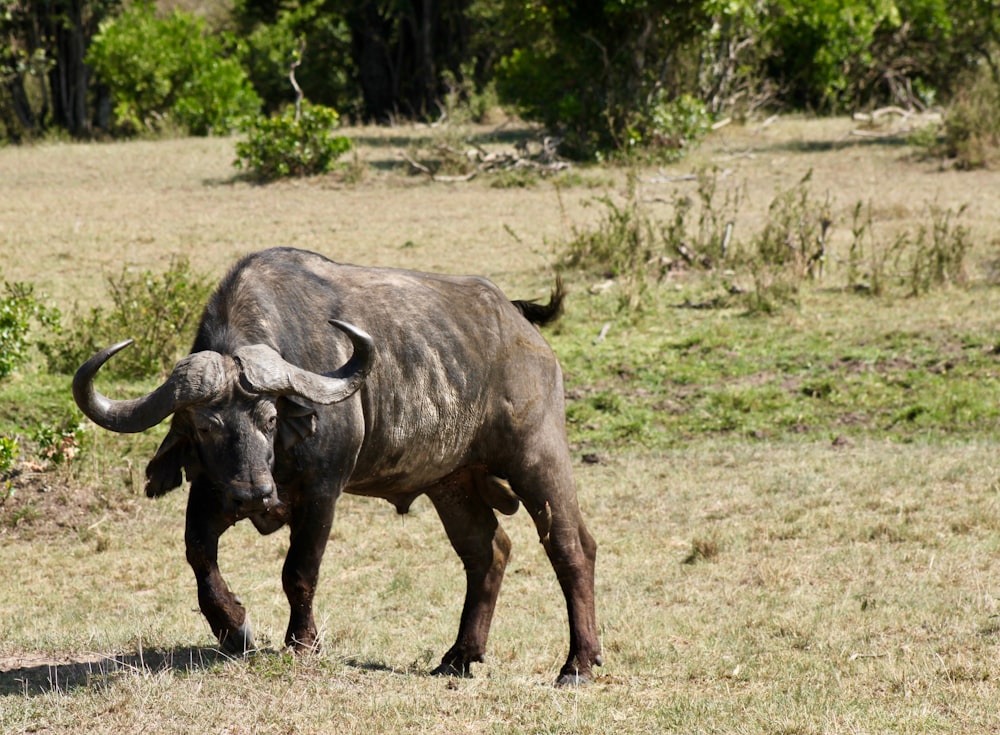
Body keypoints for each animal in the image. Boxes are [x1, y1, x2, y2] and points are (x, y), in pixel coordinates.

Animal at [74, 246, 600, 684]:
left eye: (269, 417)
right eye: (204, 427)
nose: (252, 496)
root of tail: (523, 329)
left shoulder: (322, 493)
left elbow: (299, 571)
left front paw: (301, 642)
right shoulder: (209, 491)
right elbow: (200, 558)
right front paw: (236, 629)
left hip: (537, 457)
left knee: (571, 547)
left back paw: (578, 664)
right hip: (452, 482)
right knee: (488, 552)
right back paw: (459, 656)